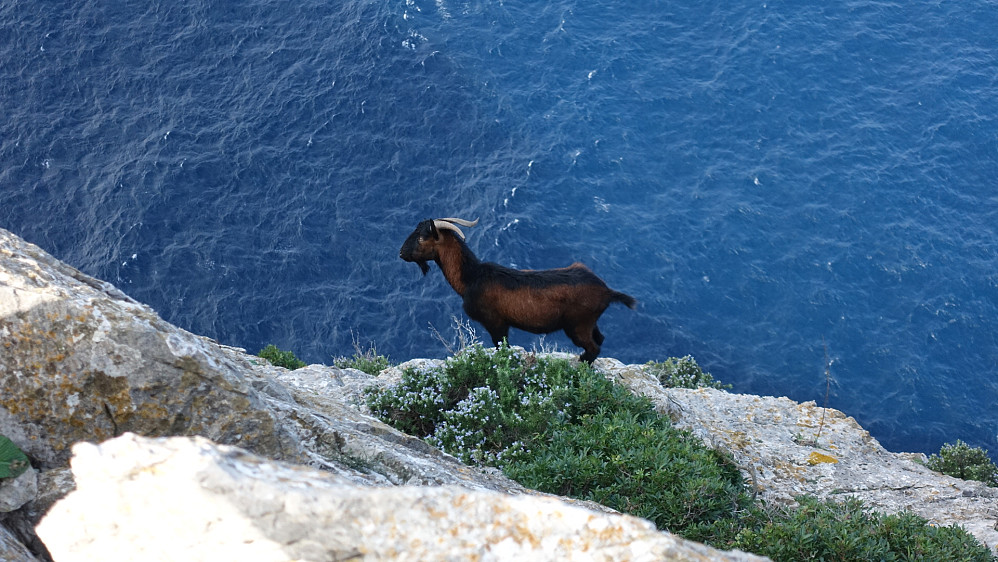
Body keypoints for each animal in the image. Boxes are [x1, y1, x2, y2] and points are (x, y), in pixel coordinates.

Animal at [396, 214, 636, 364]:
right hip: (589, 322)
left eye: (421, 237)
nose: (401, 253)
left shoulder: (496, 323)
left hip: (577, 325)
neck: (471, 277)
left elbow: (502, 347)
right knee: (600, 340)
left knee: (593, 347)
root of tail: (607, 292)